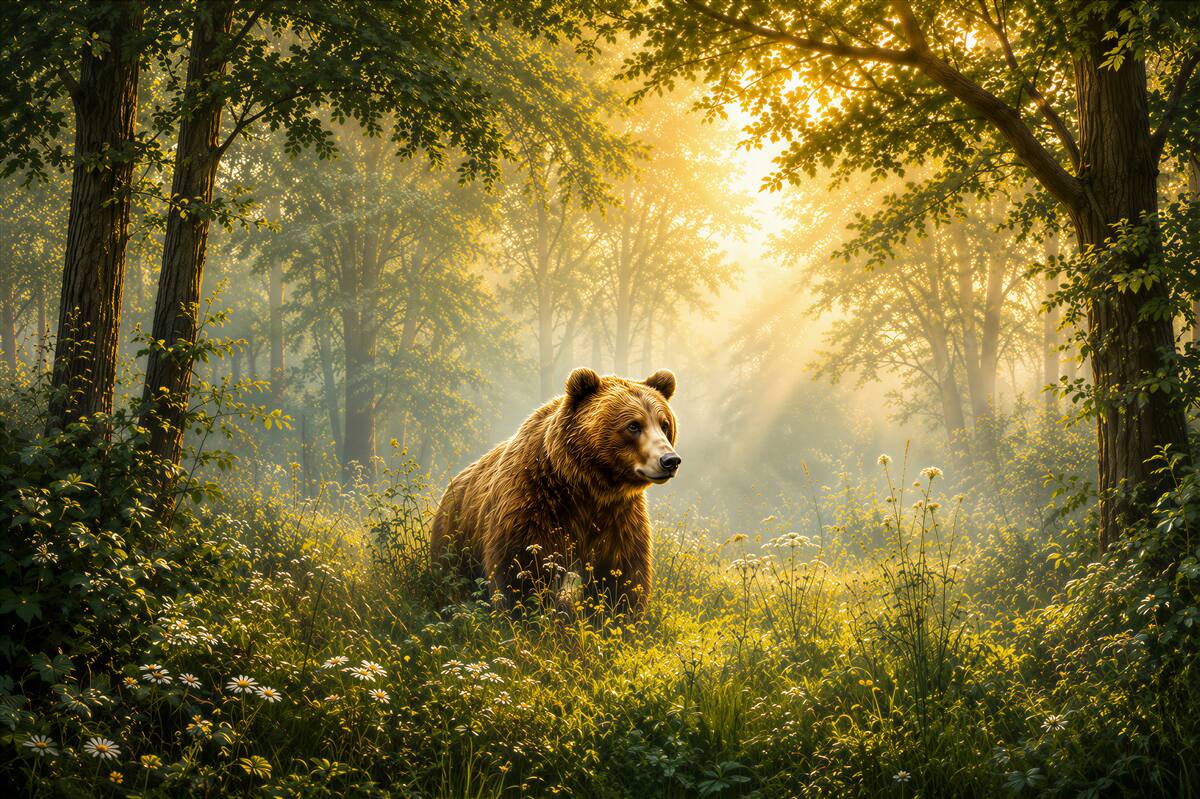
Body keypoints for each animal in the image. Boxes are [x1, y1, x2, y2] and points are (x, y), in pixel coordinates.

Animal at [430, 367, 681, 615]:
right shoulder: (533, 503)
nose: (670, 460)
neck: (587, 486)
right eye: (633, 425)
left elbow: (623, 575)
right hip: (455, 536)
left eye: (664, 424)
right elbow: (520, 567)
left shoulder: (619, 517)